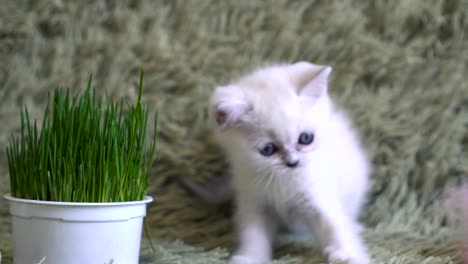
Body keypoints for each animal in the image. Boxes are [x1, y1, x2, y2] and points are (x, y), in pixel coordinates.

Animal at [183, 62, 370, 264]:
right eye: (268, 149)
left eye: (306, 138)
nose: (293, 162)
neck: (282, 180)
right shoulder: (254, 201)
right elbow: (254, 234)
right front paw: (250, 258)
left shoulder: (318, 195)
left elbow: (333, 224)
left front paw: (347, 255)